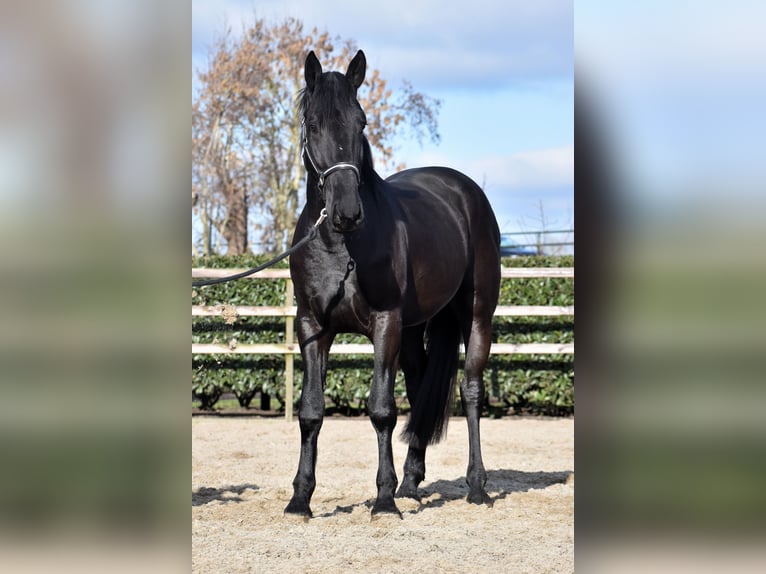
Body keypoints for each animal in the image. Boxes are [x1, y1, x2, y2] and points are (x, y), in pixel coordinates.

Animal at [285, 50, 500, 519]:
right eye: (314, 124)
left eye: (361, 122)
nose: (347, 212)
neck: (340, 246)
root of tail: (464, 190)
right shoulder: (312, 327)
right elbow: (311, 411)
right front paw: (300, 499)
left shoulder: (385, 325)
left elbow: (382, 409)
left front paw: (383, 500)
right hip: (417, 329)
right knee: (421, 390)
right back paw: (412, 483)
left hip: (476, 316)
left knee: (471, 391)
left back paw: (477, 487)